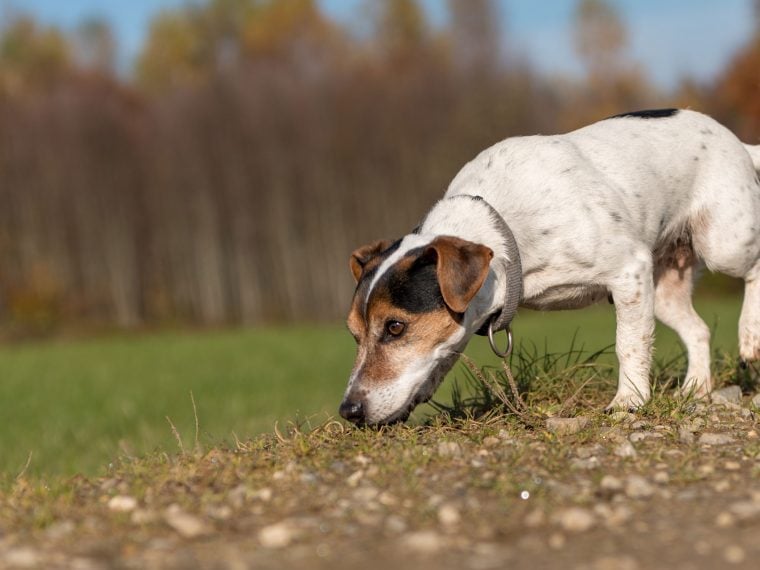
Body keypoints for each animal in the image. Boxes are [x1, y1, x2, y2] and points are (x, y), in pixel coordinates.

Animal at [340, 108, 760, 424]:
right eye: (354, 334)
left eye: (395, 327)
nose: (349, 411)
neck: (504, 229)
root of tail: (738, 143)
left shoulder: (629, 271)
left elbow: (628, 345)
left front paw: (629, 400)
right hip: (662, 289)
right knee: (699, 330)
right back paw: (696, 389)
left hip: (723, 241)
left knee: (754, 267)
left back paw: (750, 335)